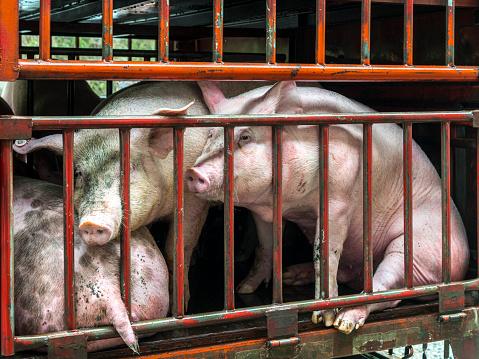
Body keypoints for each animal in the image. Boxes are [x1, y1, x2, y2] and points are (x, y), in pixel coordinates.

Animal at [187, 81, 468, 334]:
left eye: (245, 136)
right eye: (210, 135)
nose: (192, 172)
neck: (291, 203)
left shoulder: (340, 197)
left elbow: (323, 251)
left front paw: (325, 318)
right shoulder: (263, 212)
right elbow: (265, 248)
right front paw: (244, 288)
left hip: (418, 249)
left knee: (387, 290)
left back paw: (346, 322)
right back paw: (290, 275)